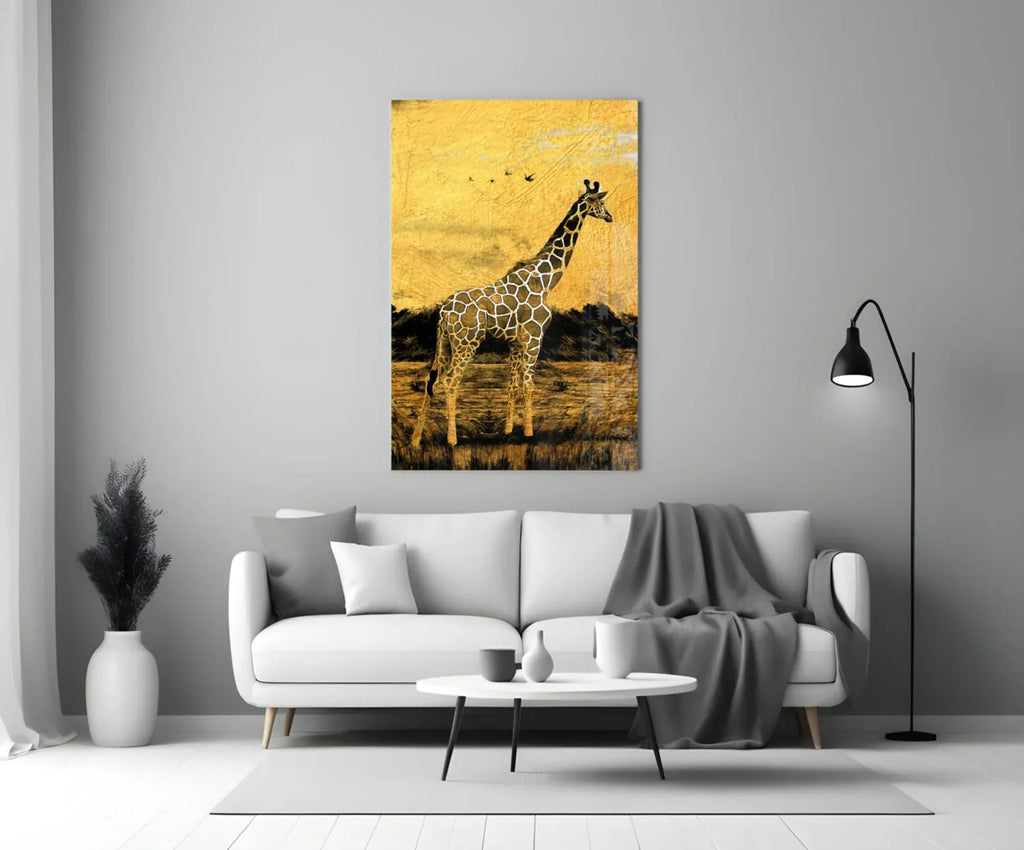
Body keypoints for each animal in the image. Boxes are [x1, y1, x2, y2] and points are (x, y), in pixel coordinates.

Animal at [411, 179, 613, 448]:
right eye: (601, 202)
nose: (610, 217)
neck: (546, 280)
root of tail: (443, 313)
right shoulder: (534, 338)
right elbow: (528, 386)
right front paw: (529, 432)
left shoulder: (516, 342)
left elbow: (513, 386)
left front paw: (508, 430)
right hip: (467, 342)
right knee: (450, 380)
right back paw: (452, 439)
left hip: (444, 342)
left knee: (430, 381)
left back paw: (416, 439)